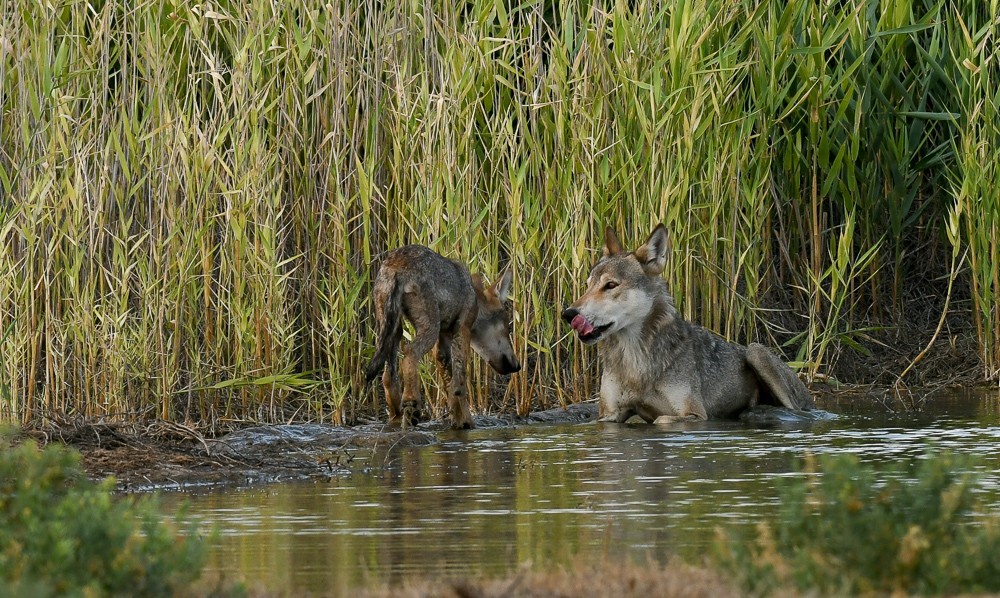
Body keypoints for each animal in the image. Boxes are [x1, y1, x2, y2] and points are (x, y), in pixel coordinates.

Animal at [364, 246, 520, 428]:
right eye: (508, 327)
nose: (518, 365)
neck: (473, 296)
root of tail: (396, 266)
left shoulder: (443, 341)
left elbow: (449, 388)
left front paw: (459, 421)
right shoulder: (462, 330)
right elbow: (459, 385)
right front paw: (467, 424)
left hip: (393, 329)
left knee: (388, 376)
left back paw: (397, 417)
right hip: (428, 328)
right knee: (409, 353)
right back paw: (411, 404)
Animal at [560, 225, 816, 426]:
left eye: (611, 285)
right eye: (587, 285)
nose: (568, 314)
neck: (635, 360)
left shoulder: (694, 414)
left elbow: (661, 420)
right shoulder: (608, 417)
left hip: (756, 351)